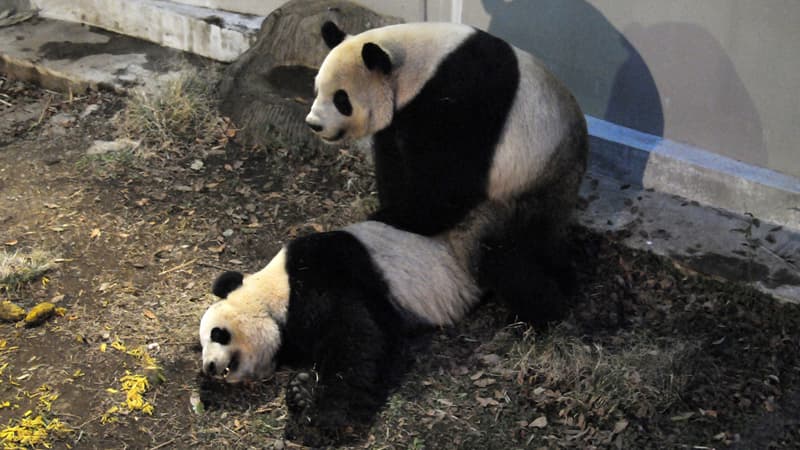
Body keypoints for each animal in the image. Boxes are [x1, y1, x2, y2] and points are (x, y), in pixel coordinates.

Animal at [306, 22, 588, 324]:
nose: (314, 124)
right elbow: (393, 158)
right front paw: (392, 206)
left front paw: (396, 217)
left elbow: (449, 178)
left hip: (530, 184)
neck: (419, 67)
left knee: (512, 251)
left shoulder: (462, 97)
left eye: (341, 99)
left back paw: (550, 302)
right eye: (316, 89)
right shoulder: (402, 115)